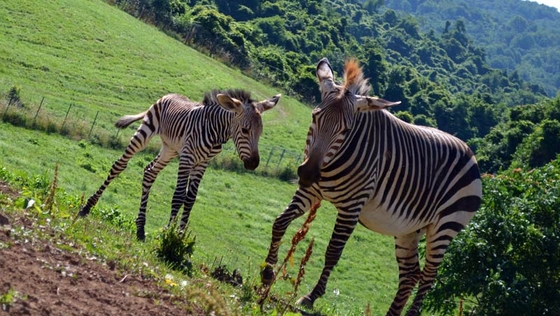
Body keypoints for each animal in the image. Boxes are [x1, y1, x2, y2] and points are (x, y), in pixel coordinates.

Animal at [79, 87, 280, 241]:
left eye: (260, 132)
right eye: (245, 130)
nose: (253, 164)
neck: (216, 131)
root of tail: (169, 94)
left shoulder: (202, 163)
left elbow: (190, 199)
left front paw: (180, 236)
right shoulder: (187, 157)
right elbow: (178, 196)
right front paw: (168, 234)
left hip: (170, 149)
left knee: (149, 172)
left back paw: (141, 228)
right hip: (146, 132)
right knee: (119, 165)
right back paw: (87, 207)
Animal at [262, 58, 482, 314]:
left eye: (346, 130)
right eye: (315, 116)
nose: (307, 173)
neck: (332, 160)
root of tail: (471, 154)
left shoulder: (351, 207)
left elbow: (333, 252)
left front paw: (311, 296)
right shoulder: (310, 190)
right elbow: (280, 222)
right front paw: (267, 272)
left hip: (444, 227)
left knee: (428, 276)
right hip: (409, 228)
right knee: (410, 274)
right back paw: (392, 313)